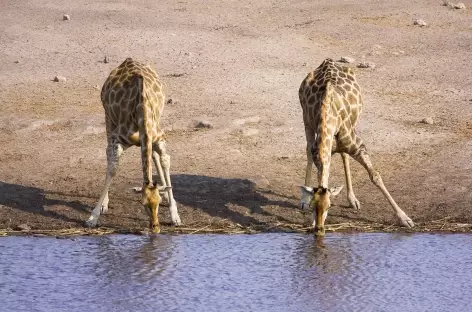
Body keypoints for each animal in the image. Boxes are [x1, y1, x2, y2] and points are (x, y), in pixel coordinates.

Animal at [85, 58, 182, 234]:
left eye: (158, 202)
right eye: (143, 204)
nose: (155, 228)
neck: (142, 112)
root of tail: (127, 61)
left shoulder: (158, 136)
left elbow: (164, 160)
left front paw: (175, 215)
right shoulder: (118, 138)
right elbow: (113, 168)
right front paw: (93, 217)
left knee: (153, 155)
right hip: (108, 117)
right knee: (107, 151)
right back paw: (104, 205)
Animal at [298, 58, 412, 235]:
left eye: (330, 206)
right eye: (312, 207)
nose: (319, 229)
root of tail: (327, 61)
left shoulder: (359, 146)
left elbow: (375, 176)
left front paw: (405, 218)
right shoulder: (320, 154)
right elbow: (321, 176)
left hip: (353, 124)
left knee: (344, 155)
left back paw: (352, 199)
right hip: (305, 118)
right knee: (308, 150)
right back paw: (303, 198)